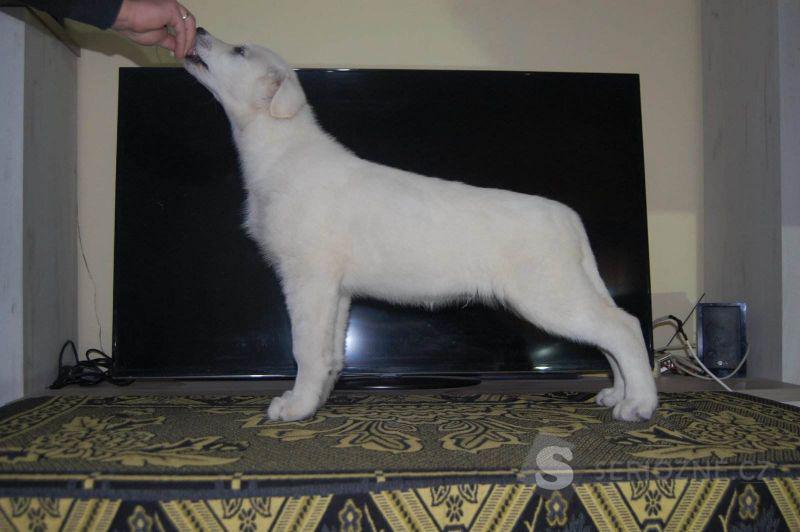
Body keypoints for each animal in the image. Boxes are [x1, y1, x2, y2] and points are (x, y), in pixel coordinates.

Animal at [184, 28, 658, 422]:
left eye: (240, 50)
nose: (199, 30)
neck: (281, 148)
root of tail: (568, 218)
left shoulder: (307, 278)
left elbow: (305, 350)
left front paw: (296, 408)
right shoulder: (336, 291)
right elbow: (331, 351)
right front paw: (316, 399)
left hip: (549, 295)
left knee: (623, 328)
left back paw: (638, 404)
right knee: (613, 331)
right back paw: (618, 393)